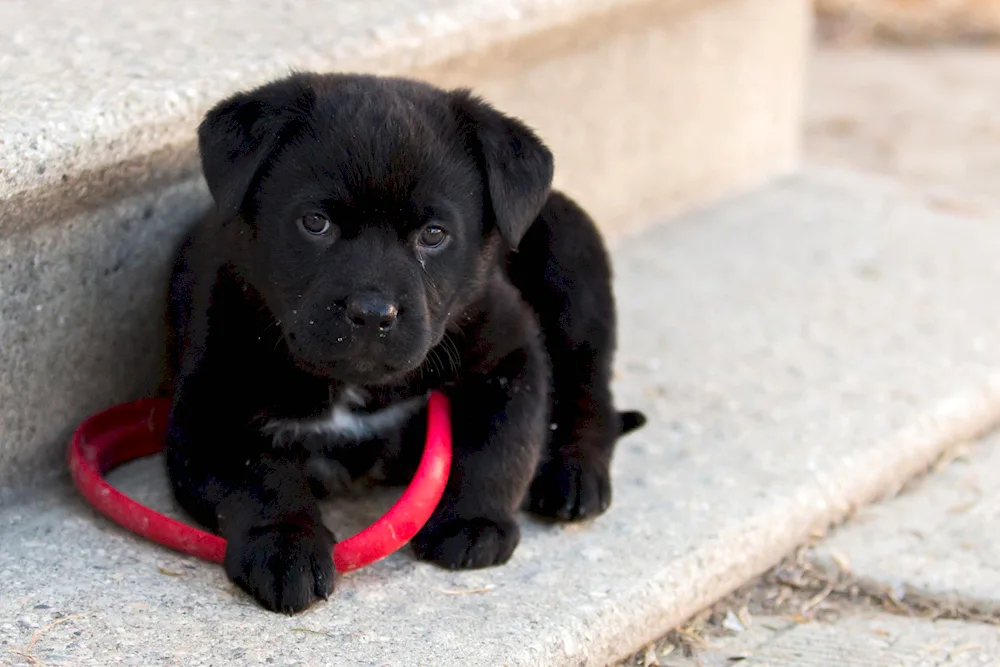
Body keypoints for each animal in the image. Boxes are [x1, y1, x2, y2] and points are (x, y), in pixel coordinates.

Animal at [164, 70, 648, 612]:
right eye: (315, 223)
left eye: (433, 234)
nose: (373, 313)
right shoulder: (209, 414)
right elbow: (260, 481)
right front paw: (285, 544)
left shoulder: (510, 349)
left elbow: (499, 440)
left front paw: (473, 521)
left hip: (572, 267)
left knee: (589, 385)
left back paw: (575, 473)